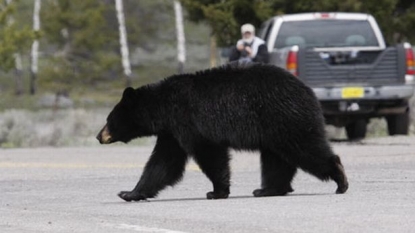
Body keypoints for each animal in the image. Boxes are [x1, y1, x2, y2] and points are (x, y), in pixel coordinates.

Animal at [99, 62, 350, 201]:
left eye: (109, 119)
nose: (99, 136)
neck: (163, 107)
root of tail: (307, 90)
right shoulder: (172, 131)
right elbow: (163, 162)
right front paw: (130, 193)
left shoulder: (189, 121)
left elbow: (209, 153)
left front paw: (217, 191)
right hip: (274, 128)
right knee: (276, 159)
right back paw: (268, 189)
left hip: (285, 118)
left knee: (305, 149)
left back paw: (340, 180)